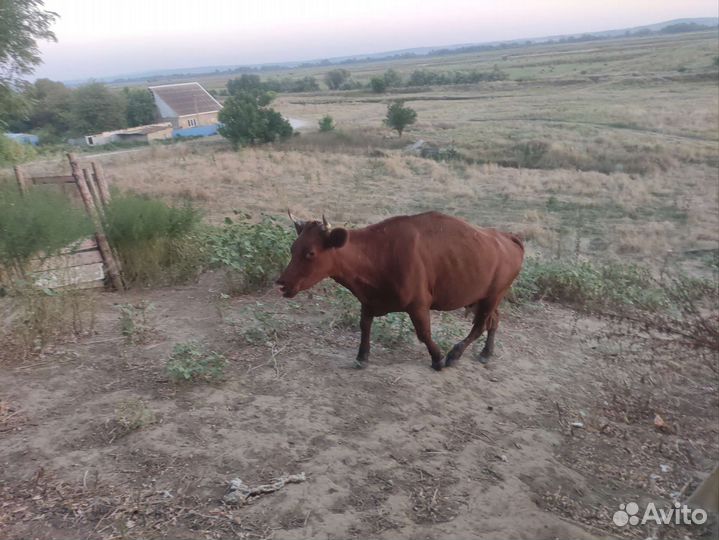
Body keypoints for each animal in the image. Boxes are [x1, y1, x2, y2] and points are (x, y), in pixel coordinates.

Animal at [276, 211, 524, 371]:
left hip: (492, 296)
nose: (281, 283)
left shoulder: (418, 304)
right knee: (493, 321)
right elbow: (365, 326)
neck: (379, 252)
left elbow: (424, 333)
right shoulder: (369, 301)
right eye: (293, 248)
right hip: (482, 298)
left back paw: (455, 354)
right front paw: (362, 357)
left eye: (310, 253)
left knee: (481, 325)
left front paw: (438, 359)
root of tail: (507, 237)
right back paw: (485, 353)